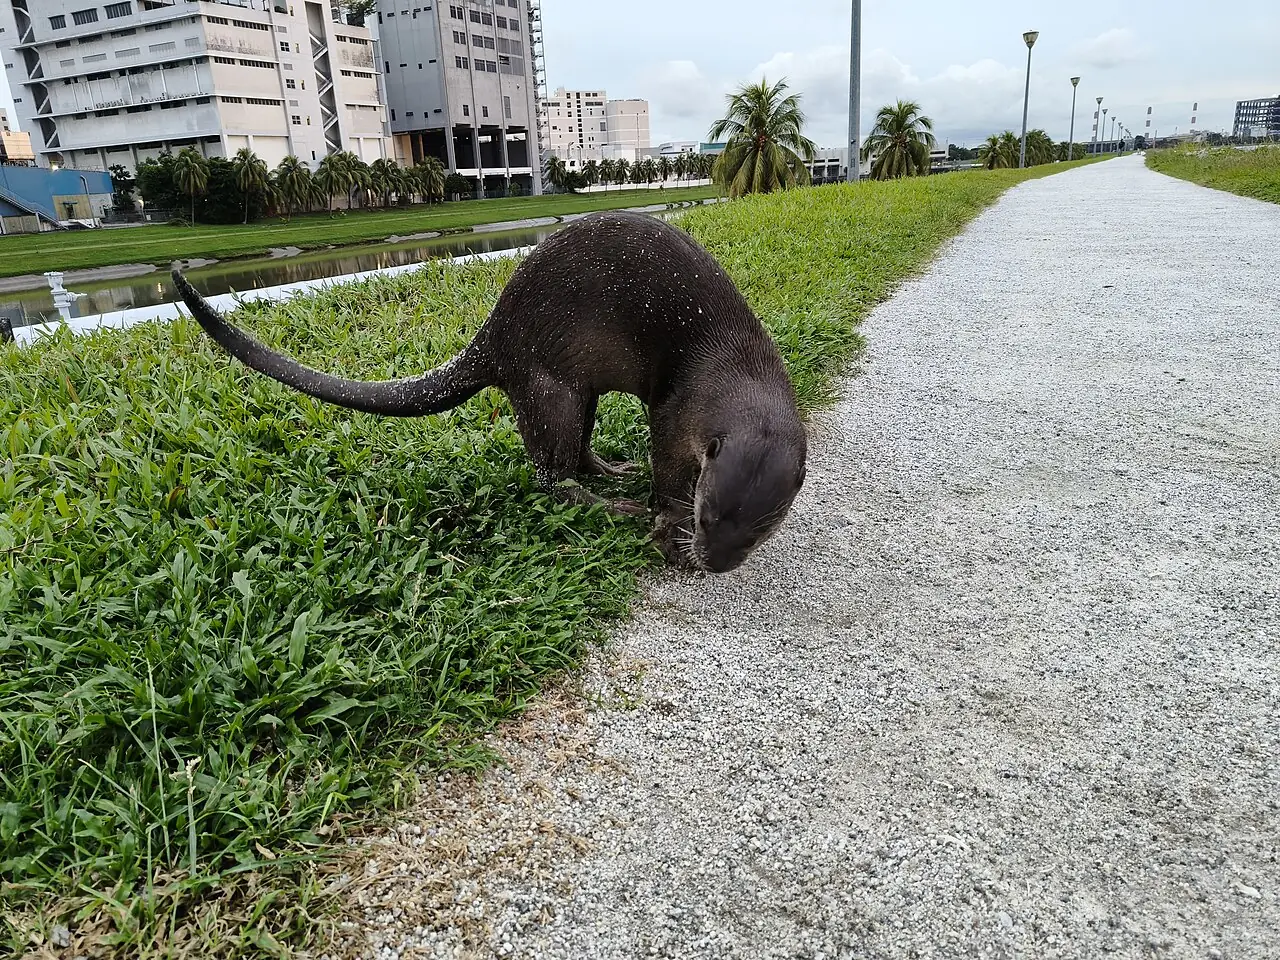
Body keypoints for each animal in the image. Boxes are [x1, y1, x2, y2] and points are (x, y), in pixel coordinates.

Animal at [172, 211, 806, 573]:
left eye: (759, 531)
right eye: (706, 515)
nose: (715, 564)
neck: (731, 362)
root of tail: (495, 334)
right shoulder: (676, 415)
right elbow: (667, 474)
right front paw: (665, 531)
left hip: (573, 392)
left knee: (573, 455)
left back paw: (613, 470)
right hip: (550, 387)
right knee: (551, 478)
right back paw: (613, 503)